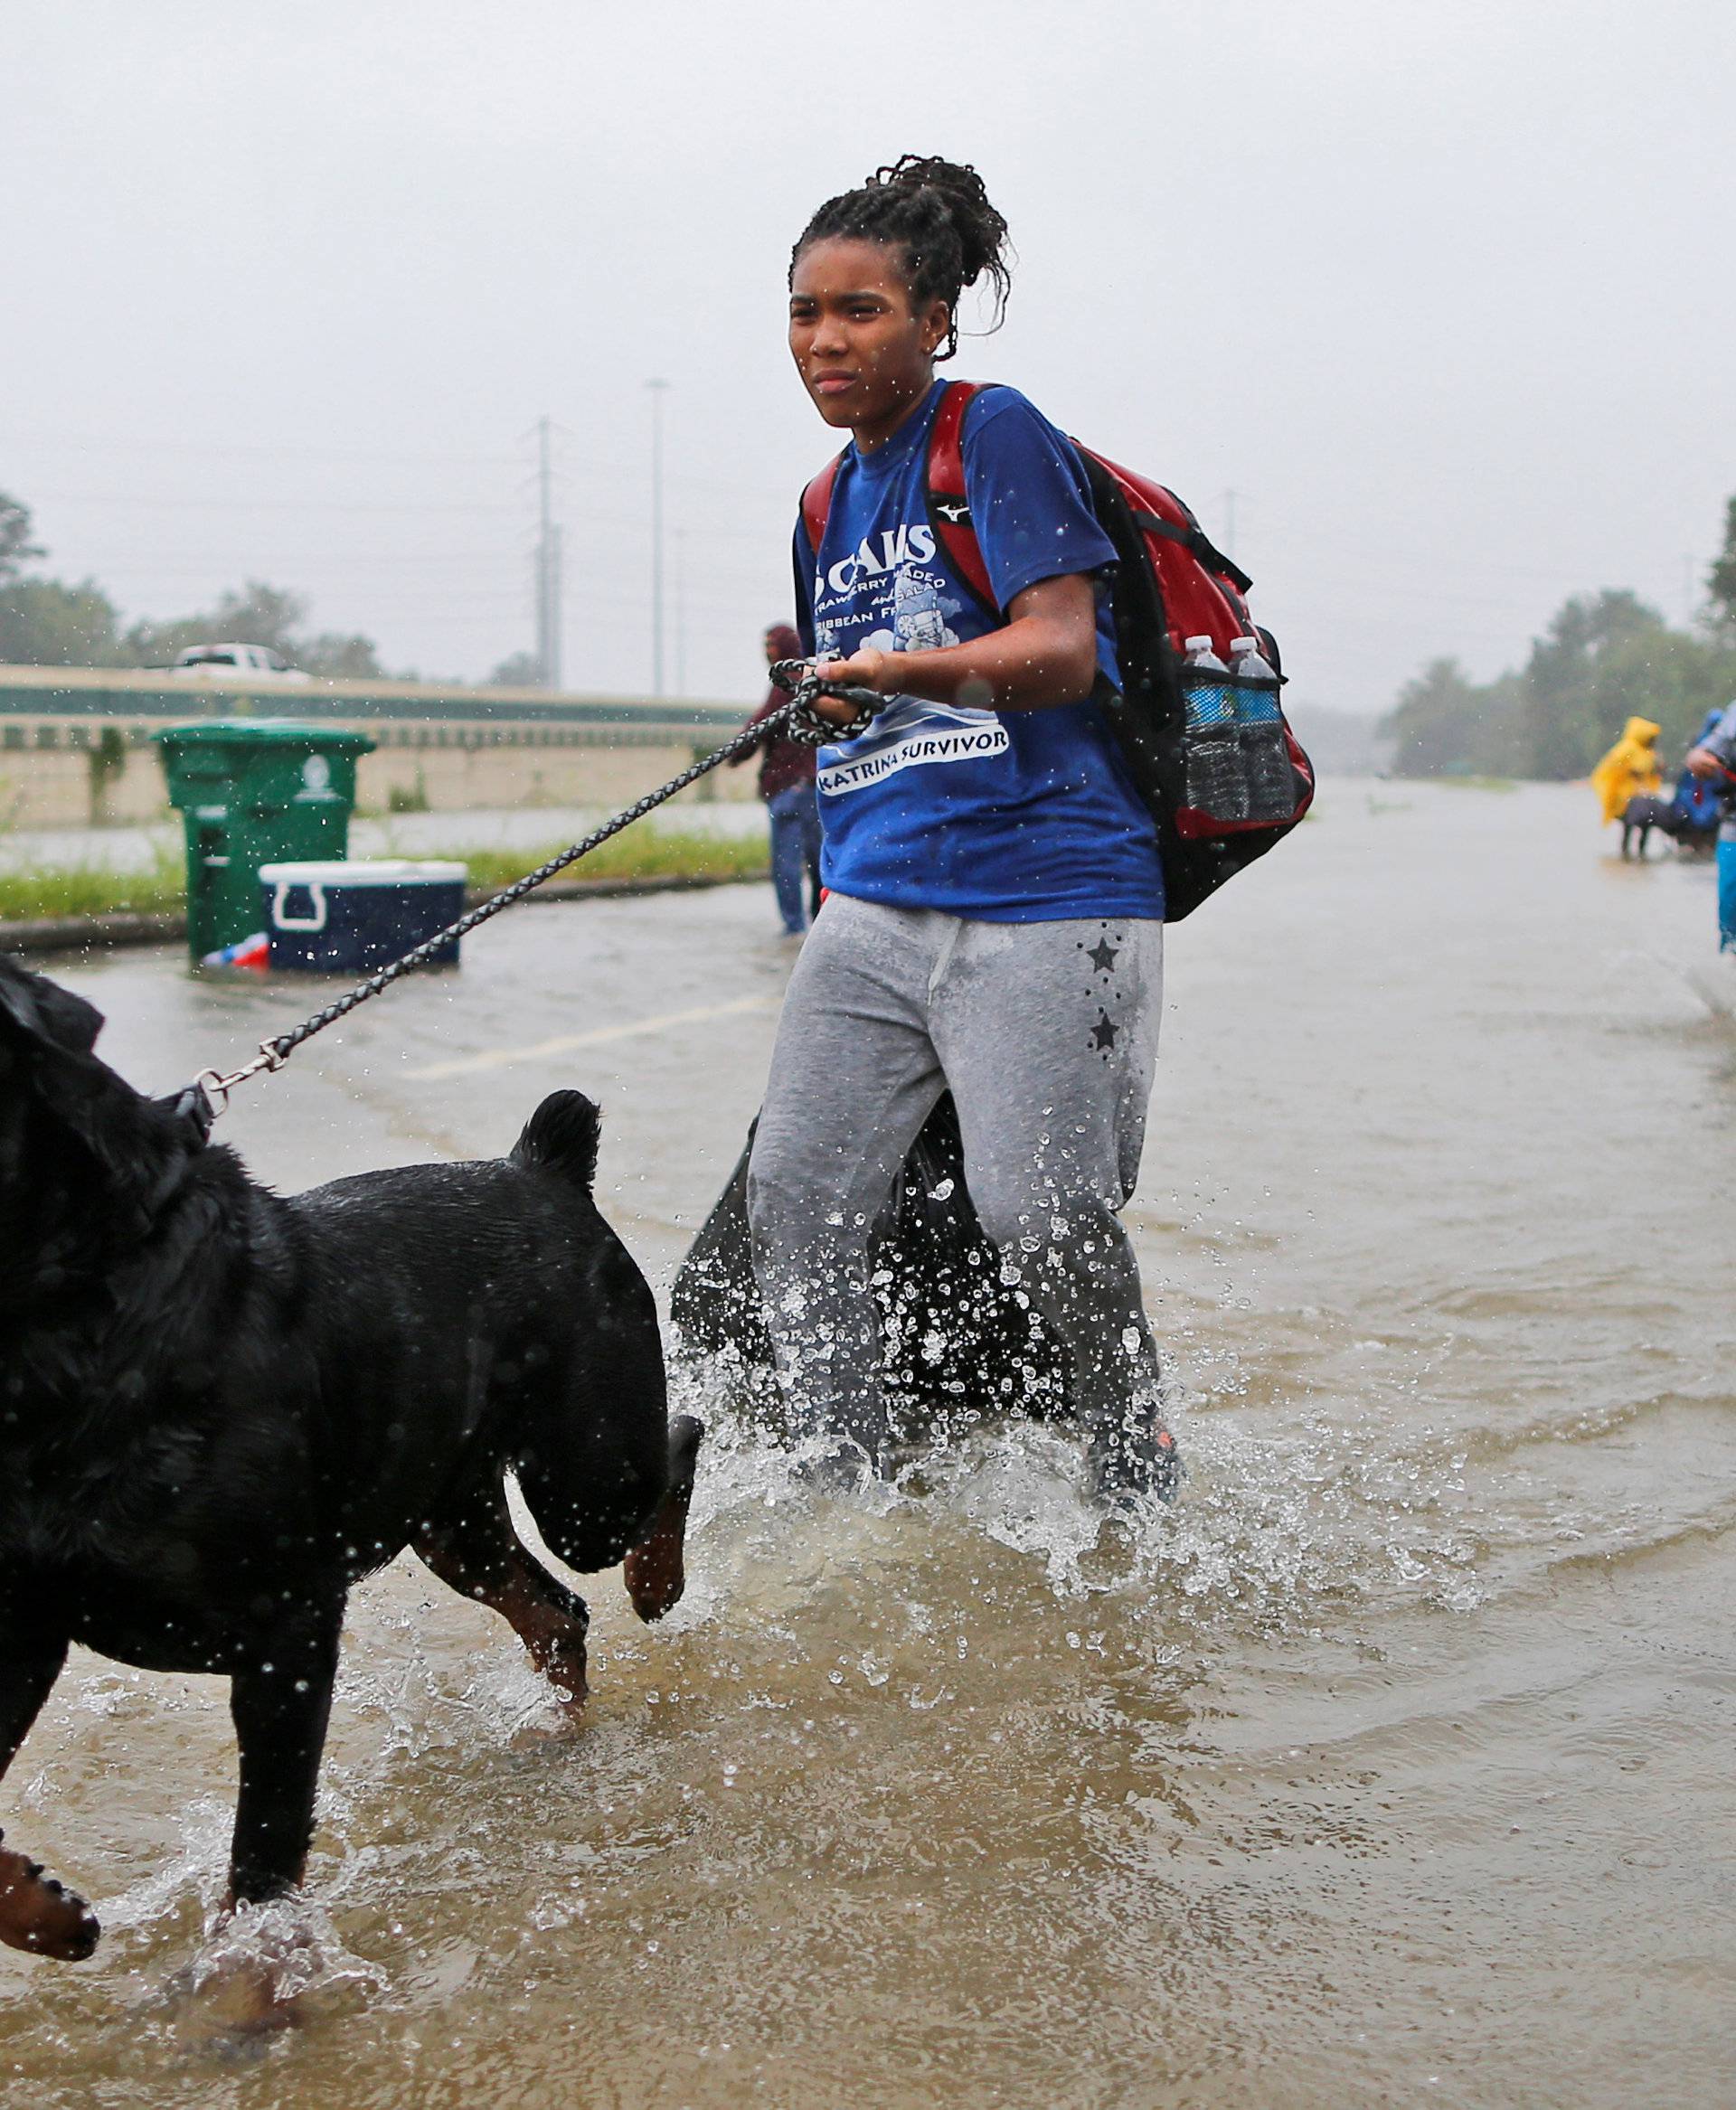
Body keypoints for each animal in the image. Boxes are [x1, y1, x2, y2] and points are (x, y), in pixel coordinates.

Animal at [1, 966, 692, 1966]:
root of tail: (540, 1167)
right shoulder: (23, 1622)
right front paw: (50, 1913)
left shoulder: (286, 1631)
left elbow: (263, 1856)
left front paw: (247, 1981)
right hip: (452, 1519)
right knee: (554, 1611)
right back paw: (553, 1731)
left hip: (584, 1478)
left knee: (673, 1447)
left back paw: (656, 1582)